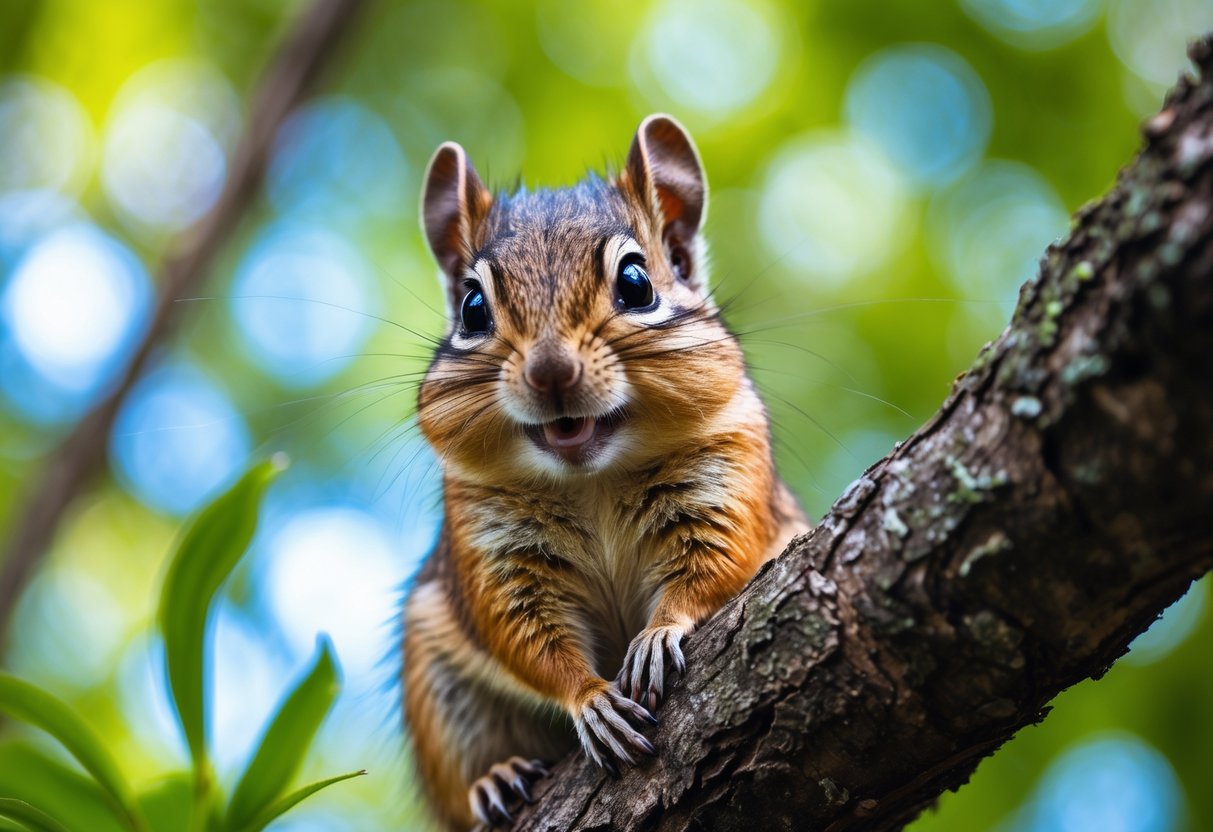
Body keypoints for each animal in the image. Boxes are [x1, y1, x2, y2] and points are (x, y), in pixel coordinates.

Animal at [401, 114, 809, 831]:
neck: (590, 479)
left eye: (637, 284)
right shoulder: (492, 549)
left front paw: (660, 632)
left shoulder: (727, 474)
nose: (551, 371)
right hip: (441, 692)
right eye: (473, 308)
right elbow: (526, 638)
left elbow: (714, 567)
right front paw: (590, 697)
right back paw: (496, 781)